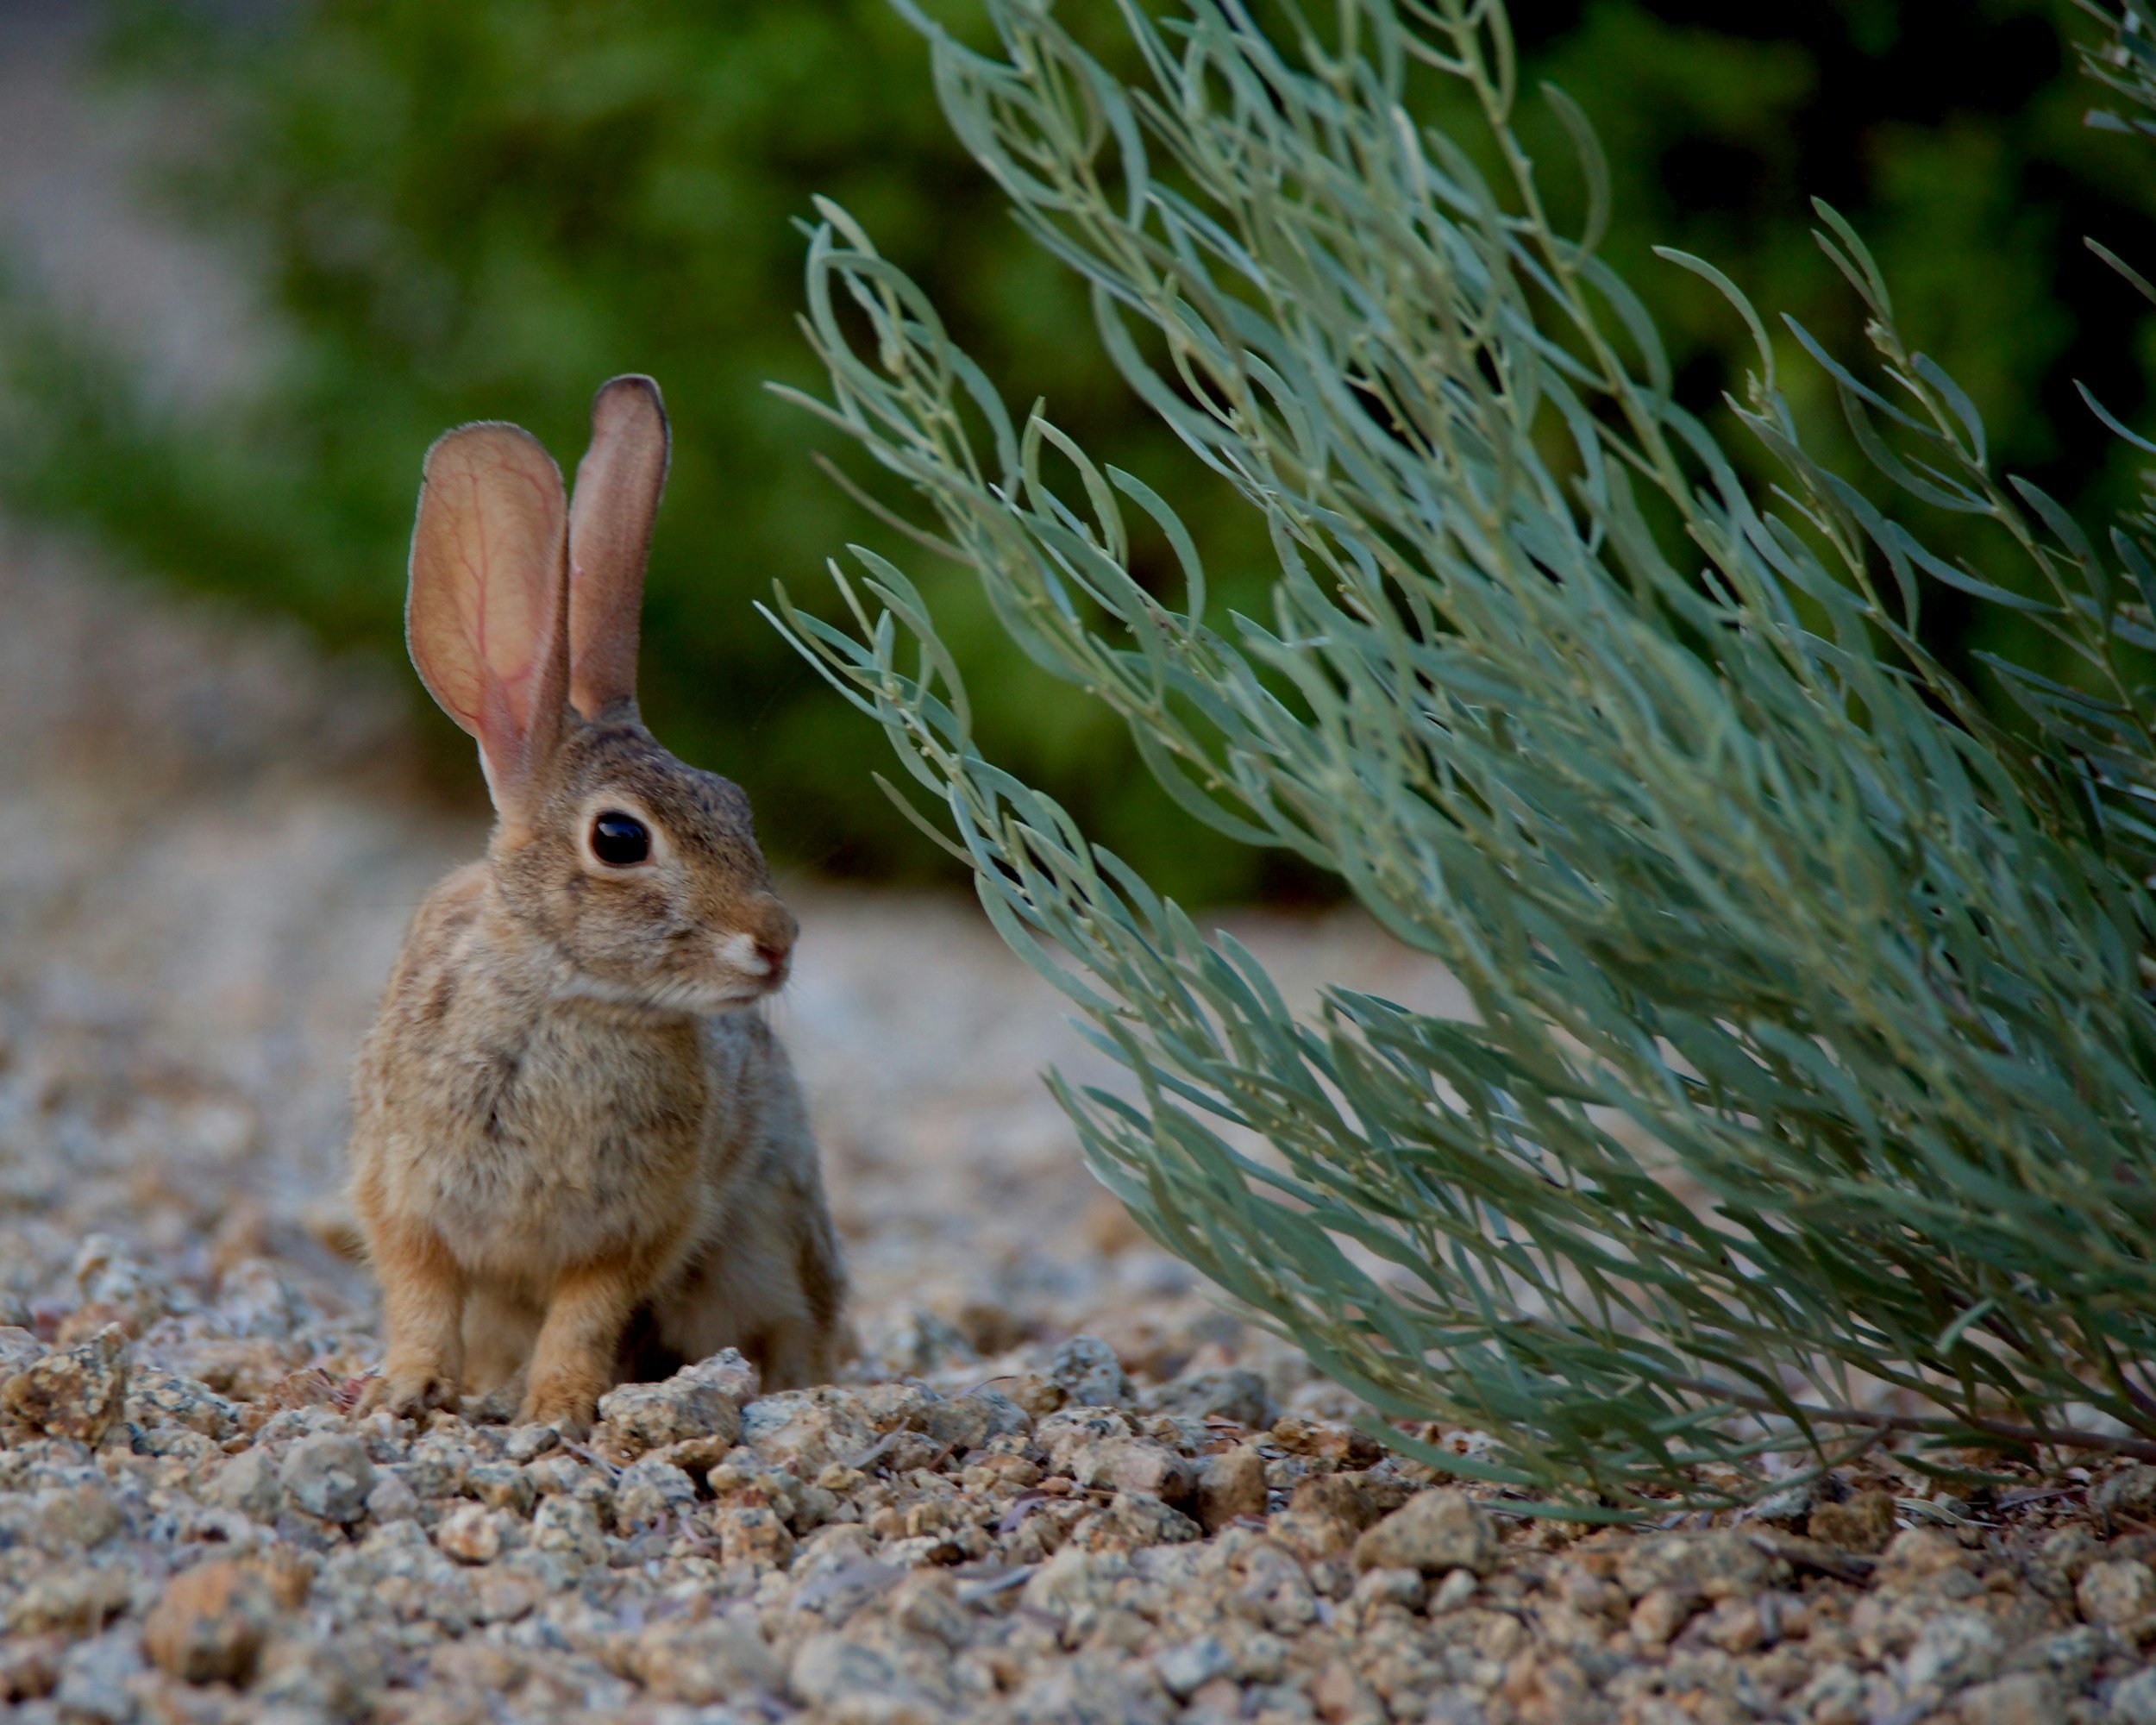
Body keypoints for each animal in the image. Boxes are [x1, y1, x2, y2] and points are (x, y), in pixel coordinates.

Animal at [348, 375, 846, 1435]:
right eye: (620, 838)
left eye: (736, 803)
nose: (776, 943)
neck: (565, 994)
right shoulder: (402, 1191)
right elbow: (419, 1295)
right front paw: (408, 1387)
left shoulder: (635, 1227)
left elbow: (584, 1312)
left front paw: (562, 1406)